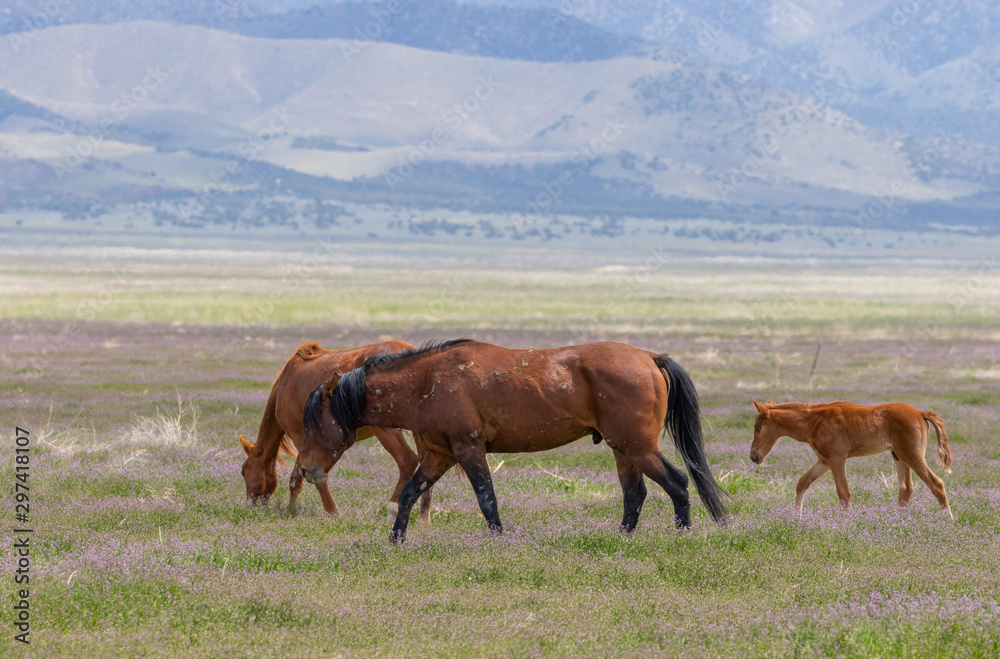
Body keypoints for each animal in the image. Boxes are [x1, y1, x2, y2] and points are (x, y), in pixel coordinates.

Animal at [243, 342, 434, 524]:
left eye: (243, 472)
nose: (250, 505)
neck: (285, 384)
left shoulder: (300, 437)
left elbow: (310, 476)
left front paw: (332, 512)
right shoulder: (307, 443)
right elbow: (297, 477)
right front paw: (292, 508)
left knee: (407, 460)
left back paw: (392, 510)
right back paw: (423, 517)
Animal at [296, 338, 728, 544]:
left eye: (314, 423)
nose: (307, 469)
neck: (427, 383)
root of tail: (649, 357)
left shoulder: (468, 451)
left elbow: (486, 499)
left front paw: (498, 541)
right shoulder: (439, 456)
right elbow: (408, 495)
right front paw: (396, 540)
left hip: (638, 447)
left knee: (677, 484)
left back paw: (681, 535)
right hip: (622, 449)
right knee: (634, 493)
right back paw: (624, 538)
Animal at [752, 400, 952, 520]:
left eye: (758, 428)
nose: (753, 456)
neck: (816, 421)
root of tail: (920, 412)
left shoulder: (837, 459)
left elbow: (843, 493)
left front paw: (849, 525)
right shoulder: (824, 461)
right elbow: (802, 482)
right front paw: (796, 518)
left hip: (911, 455)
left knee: (936, 484)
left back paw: (948, 522)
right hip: (898, 456)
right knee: (906, 488)